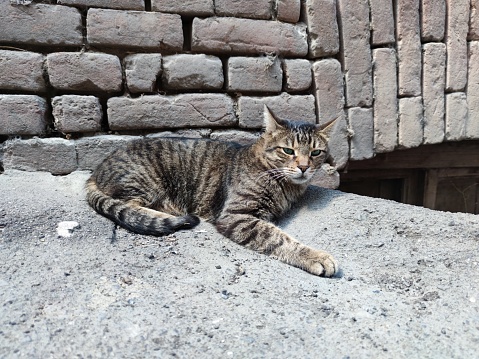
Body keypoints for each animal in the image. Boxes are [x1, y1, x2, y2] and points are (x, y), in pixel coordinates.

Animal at [87, 107, 342, 278]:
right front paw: (314, 256)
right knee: (129, 206)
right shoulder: (237, 215)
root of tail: (97, 168)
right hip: (145, 183)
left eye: (316, 153)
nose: (304, 167)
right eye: (288, 151)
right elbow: (277, 237)